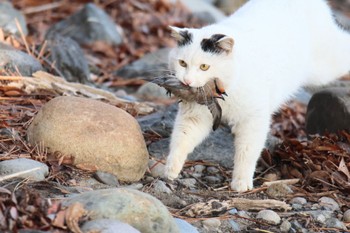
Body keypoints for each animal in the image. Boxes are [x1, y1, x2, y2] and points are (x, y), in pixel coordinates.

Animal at [164, 0, 350, 191]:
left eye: (204, 67)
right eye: (182, 63)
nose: (187, 81)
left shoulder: (253, 120)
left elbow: (247, 151)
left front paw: (241, 182)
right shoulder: (195, 116)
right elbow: (182, 138)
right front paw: (171, 168)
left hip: (326, 67)